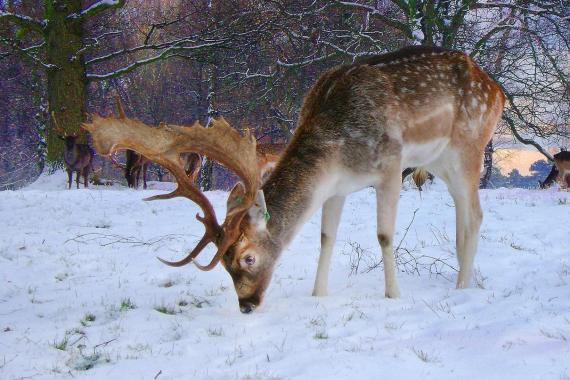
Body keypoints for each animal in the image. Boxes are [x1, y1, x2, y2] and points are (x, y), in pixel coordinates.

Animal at [83, 46, 502, 314]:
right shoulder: (337, 188)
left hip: (469, 145)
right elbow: (326, 236)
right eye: (224, 265)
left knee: (477, 214)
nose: (246, 305)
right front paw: (318, 293)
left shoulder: (389, 166)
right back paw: (463, 280)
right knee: (462, 214)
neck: (336, 148)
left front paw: (393, 295)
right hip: (440, 162)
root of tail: (497, 88)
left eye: (248, 257)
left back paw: (462, 287)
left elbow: (384, 235)